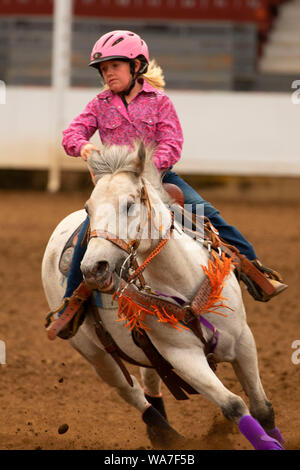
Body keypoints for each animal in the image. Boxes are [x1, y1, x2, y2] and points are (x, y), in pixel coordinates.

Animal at [41, 143, 284, 452]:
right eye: (89, 208)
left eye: (130, 204)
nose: (93, 269)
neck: (183, 281)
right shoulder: (182, 355)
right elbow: (234, 405)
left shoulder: (242, 340)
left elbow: (262, 407)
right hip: (94, 354)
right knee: (130, 390)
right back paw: (167, 435)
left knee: (150, 377)